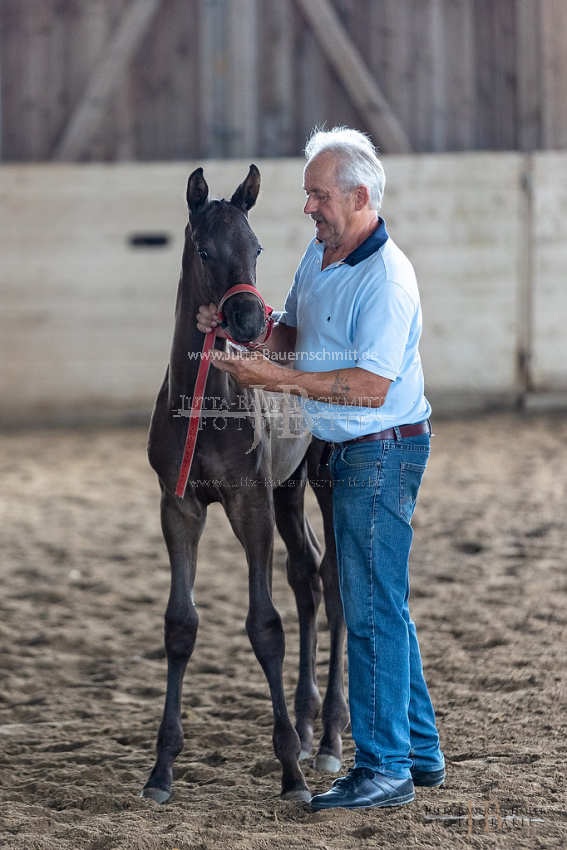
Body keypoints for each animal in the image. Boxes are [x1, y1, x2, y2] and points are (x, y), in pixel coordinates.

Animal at [140, 166, 348, 800]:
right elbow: (180, 624)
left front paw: (289, 775)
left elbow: (265, 626)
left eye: (255, 249)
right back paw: (306, 728)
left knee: (334, 579)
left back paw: (328, 741)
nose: (251, 323)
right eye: (206, 249)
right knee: (306, 572)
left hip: (323, 477)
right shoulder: (179, 504)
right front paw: (161, 770)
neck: (206, 401)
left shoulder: (248, 500)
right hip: (289, 486)